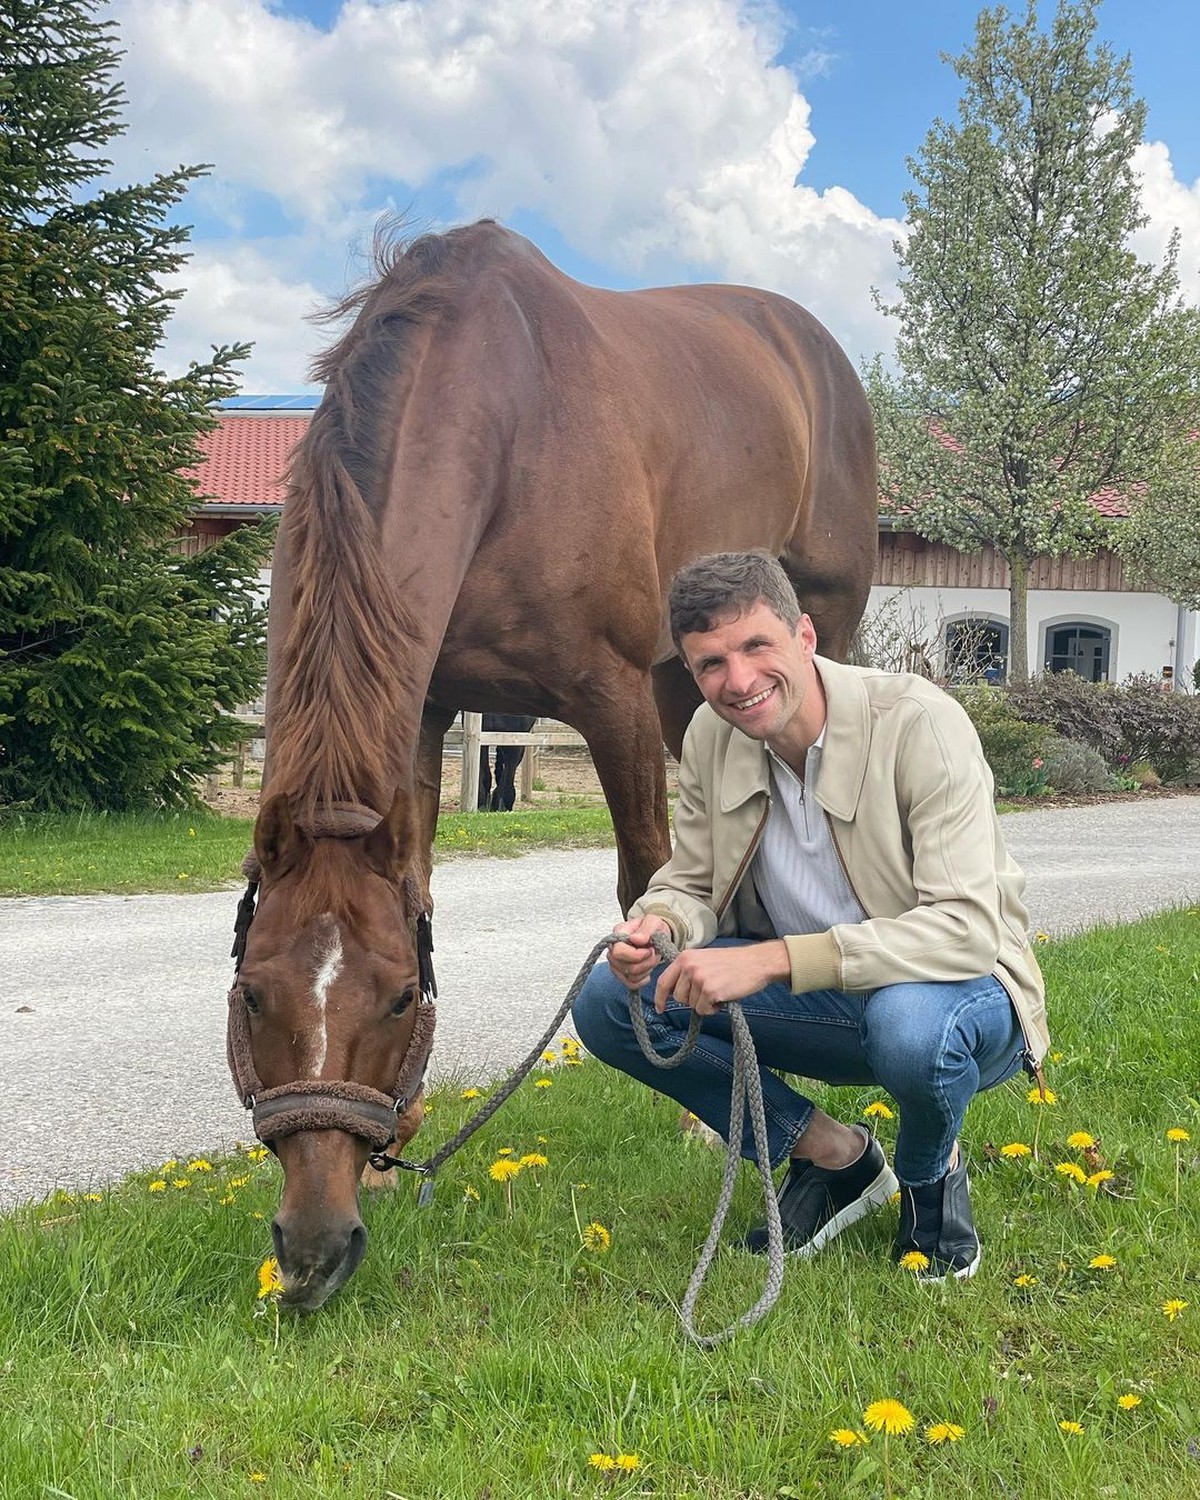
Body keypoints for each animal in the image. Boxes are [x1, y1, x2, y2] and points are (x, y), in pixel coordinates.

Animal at [229, 217, 876, 1308]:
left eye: (395, 997)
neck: (501, 419)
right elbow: (423, 882)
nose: (315, 1250)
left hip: (808, 628)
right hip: (689, 679)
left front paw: (698, 1106)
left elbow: (644, 888)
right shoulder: (428, 705)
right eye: (251, 994)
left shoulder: (609, 700)